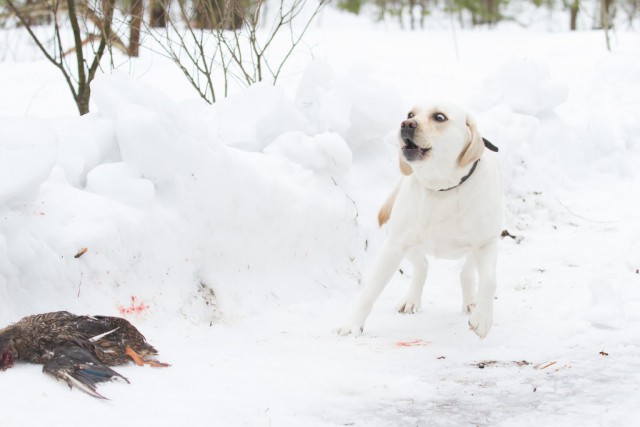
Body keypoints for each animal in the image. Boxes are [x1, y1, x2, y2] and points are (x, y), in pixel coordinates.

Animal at [338, 102, 502, 340]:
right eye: (410, 114)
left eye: (439, 117)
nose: (406, 124)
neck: (441, 188)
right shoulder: (394, 246)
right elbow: (370, 290)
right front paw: (352, 324)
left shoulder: (487, 242)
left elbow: (489, 281)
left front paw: (482, 319)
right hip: (404, 239)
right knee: (422, 265)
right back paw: (411, 299)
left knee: (466, 271)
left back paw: (472, 302)